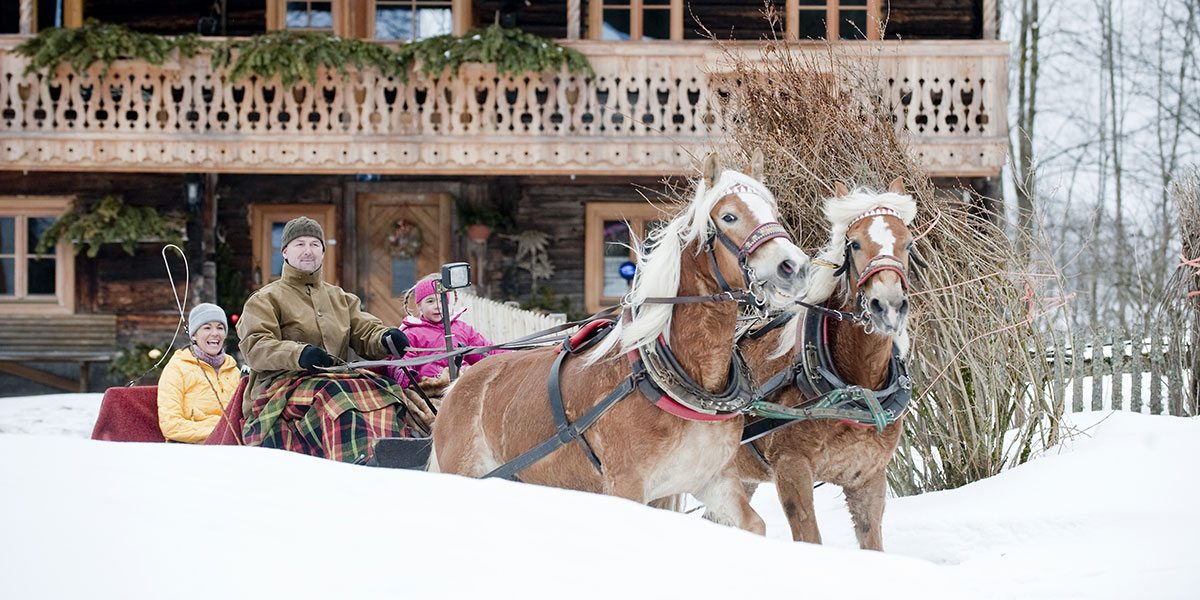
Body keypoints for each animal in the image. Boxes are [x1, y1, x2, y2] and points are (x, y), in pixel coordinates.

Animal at [432, 154, 806, 535]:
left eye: (773, 210)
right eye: (729, 216)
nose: (793, 266)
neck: (683, 380)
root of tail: (457, 385)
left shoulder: (712, 479)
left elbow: (753, 524)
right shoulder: (627, 485)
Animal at [729, 177, 916, 549]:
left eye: (907, 242)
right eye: (854, 243)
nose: (888, 305)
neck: (856, 388)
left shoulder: (868, 477)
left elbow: (873, 543)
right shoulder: (791, 468)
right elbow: (809, 538)